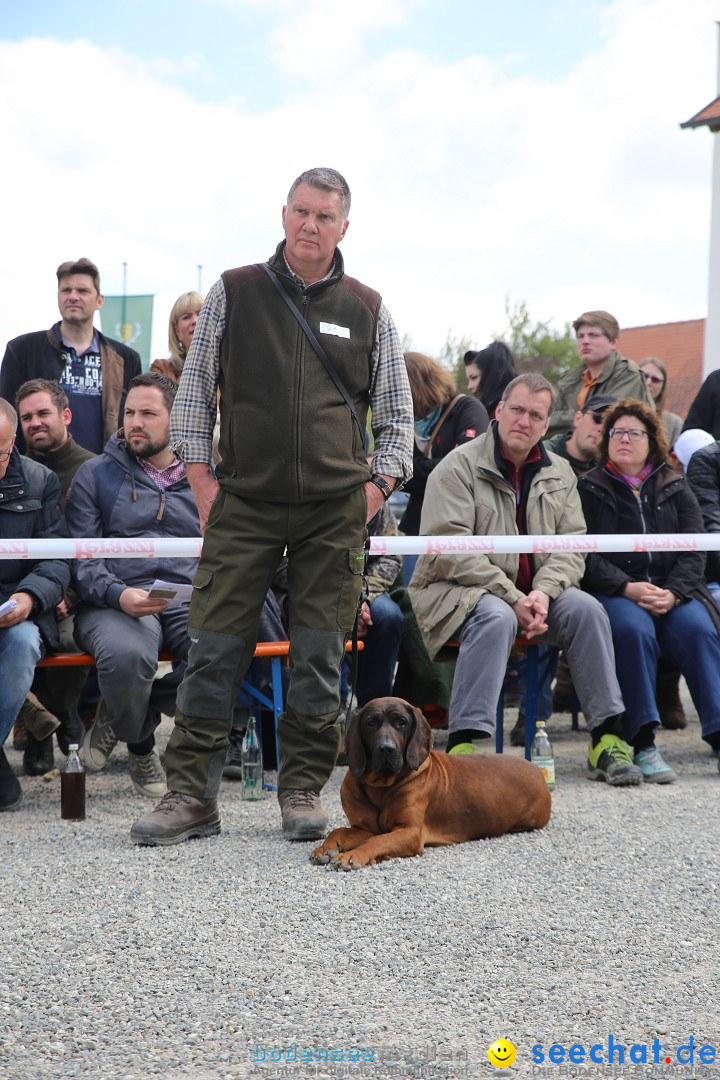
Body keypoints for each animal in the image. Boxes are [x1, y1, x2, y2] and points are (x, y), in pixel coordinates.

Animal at [310, 699, 552, 868]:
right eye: (371, 724)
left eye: (401, 723)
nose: (386, 748)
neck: (380, 786)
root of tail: (536, 770)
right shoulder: (366, 828)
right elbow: (338, 831)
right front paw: (325, 848)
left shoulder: (410, 832)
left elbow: (377, 842)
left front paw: (353, 854)